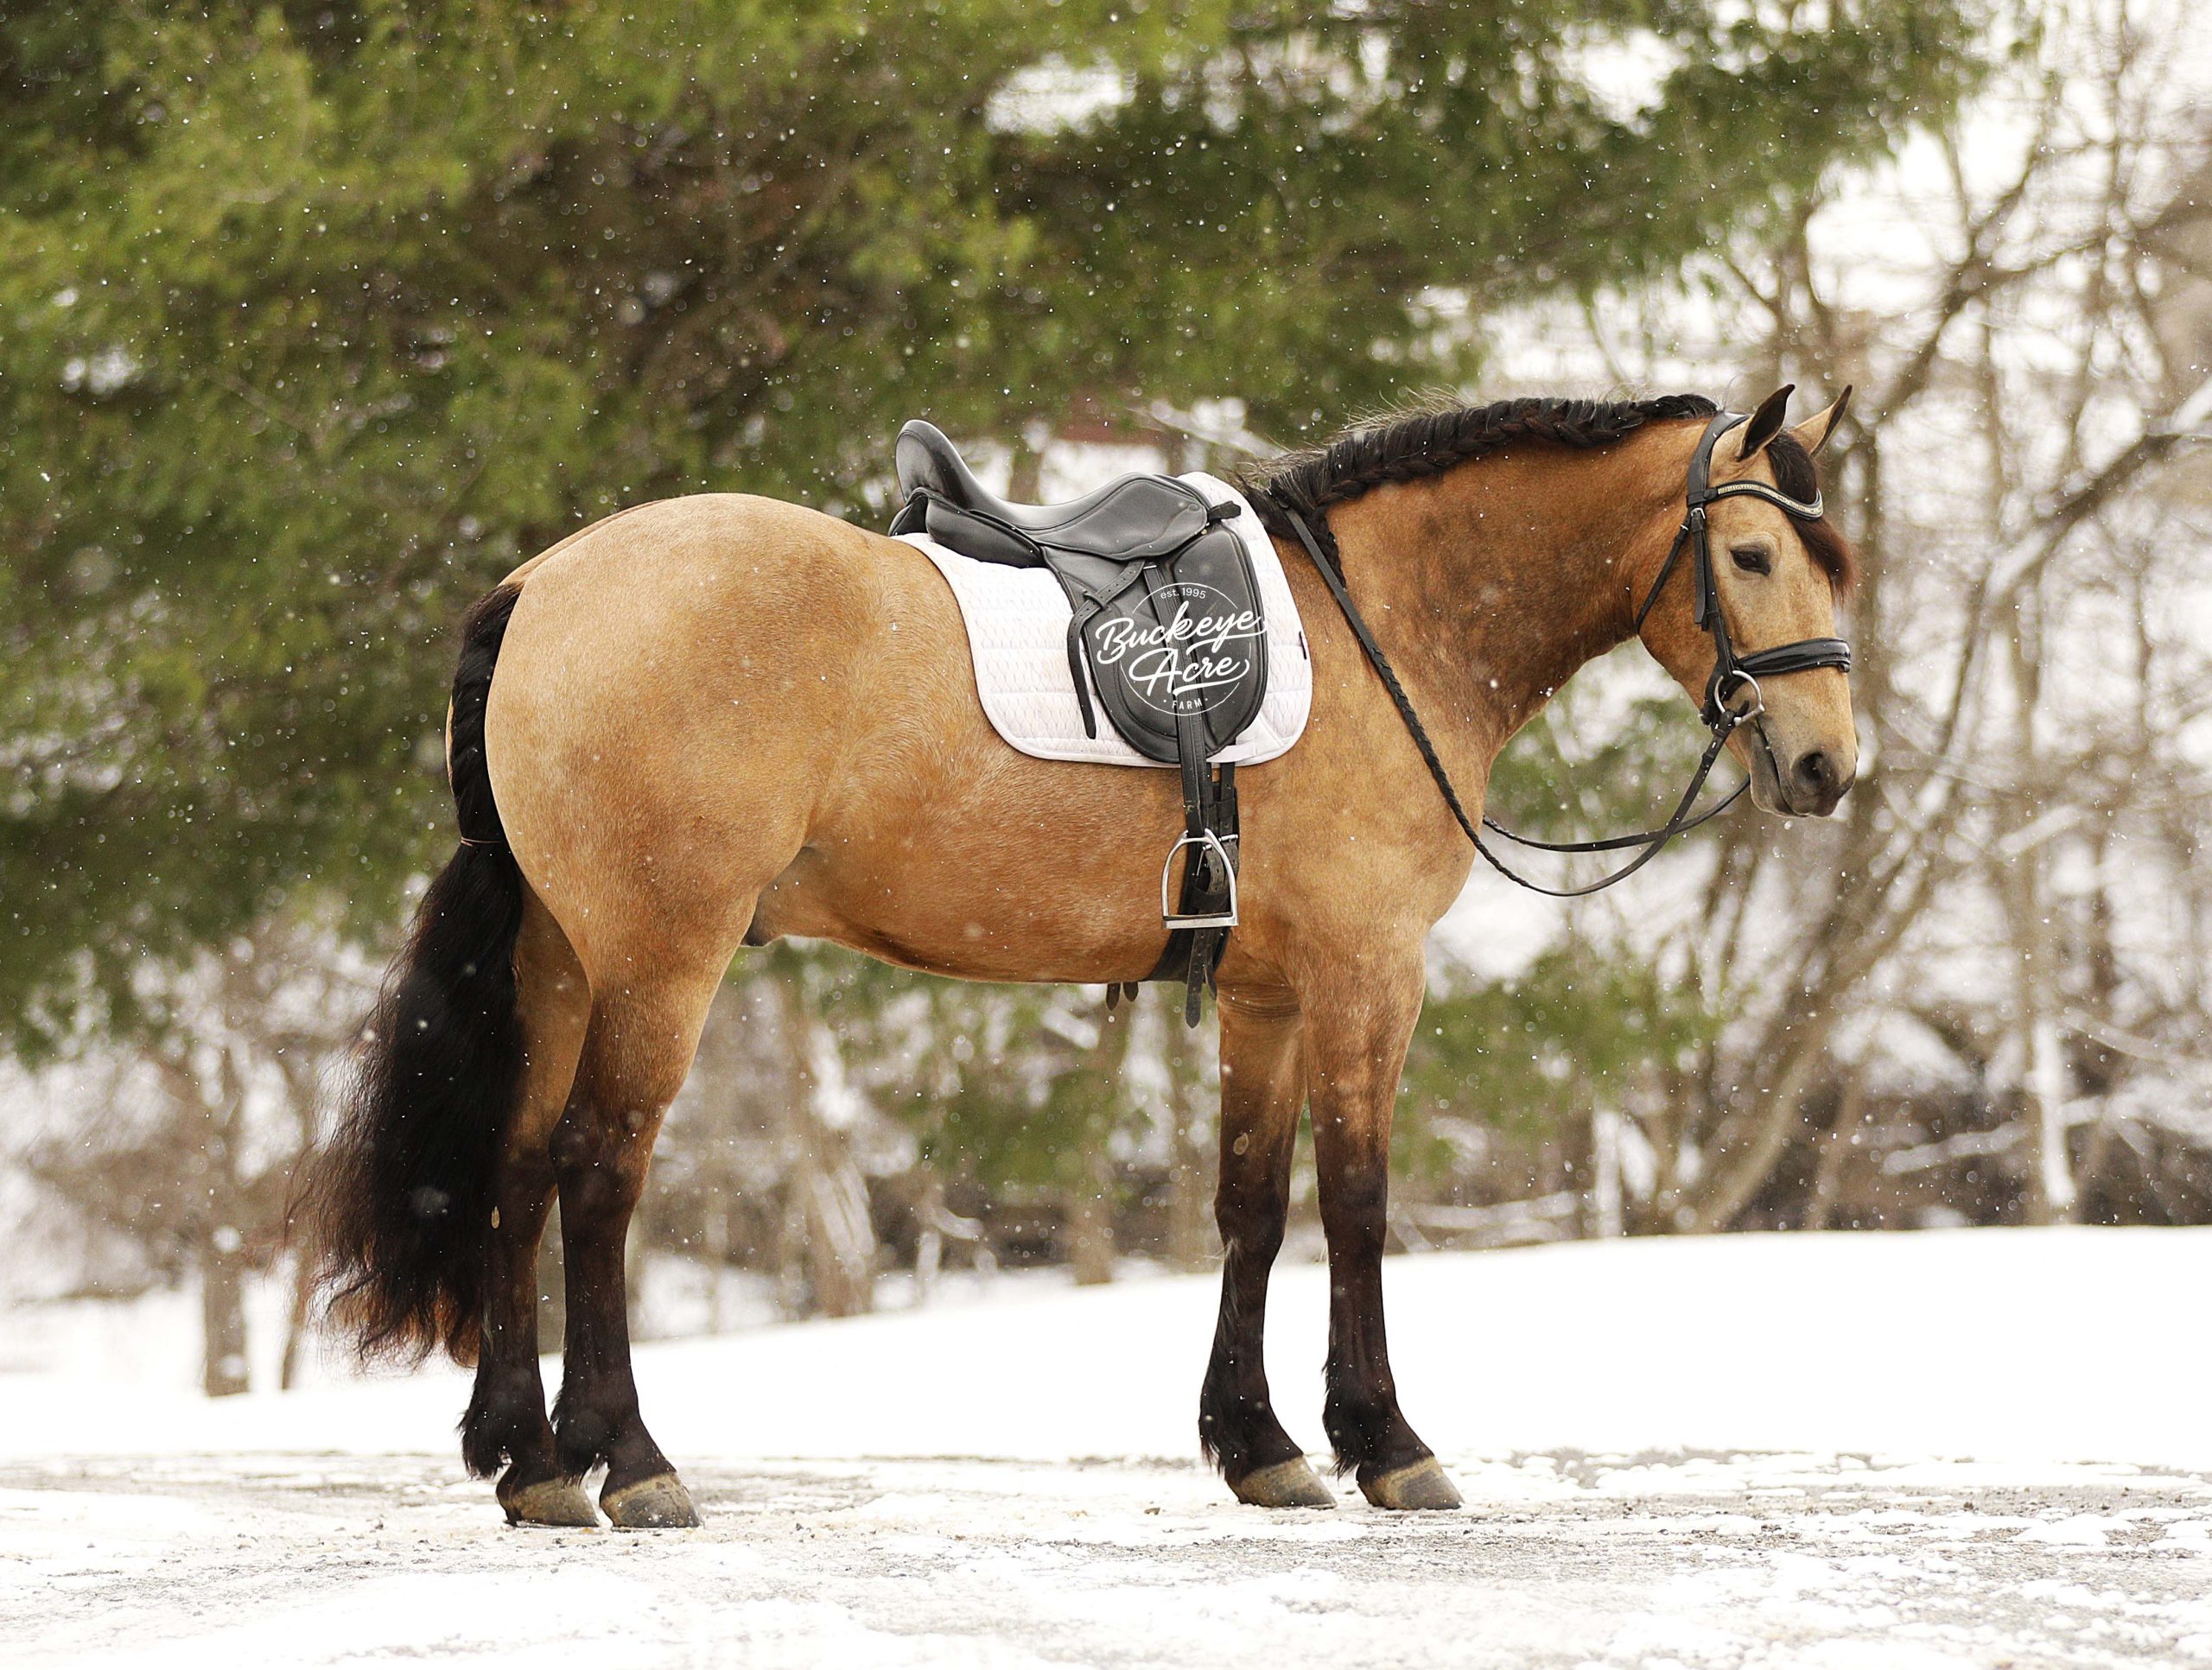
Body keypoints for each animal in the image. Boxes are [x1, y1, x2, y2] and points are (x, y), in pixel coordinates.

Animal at [305, 387, 1858, 1527]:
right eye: (1754, 556)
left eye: (1833, 559)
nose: (1829, 765)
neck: (1384, 626)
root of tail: (542, 584)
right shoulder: (1366, 974)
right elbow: (1358, 1201)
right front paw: (1387, 1440)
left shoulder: (1265, 992)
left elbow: (1251, 1206)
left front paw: (1261, 1443)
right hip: (658, 959)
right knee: (597, 1168)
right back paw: (628, 1457)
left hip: (561, 958)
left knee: (510, 1166)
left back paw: (531, 1459)